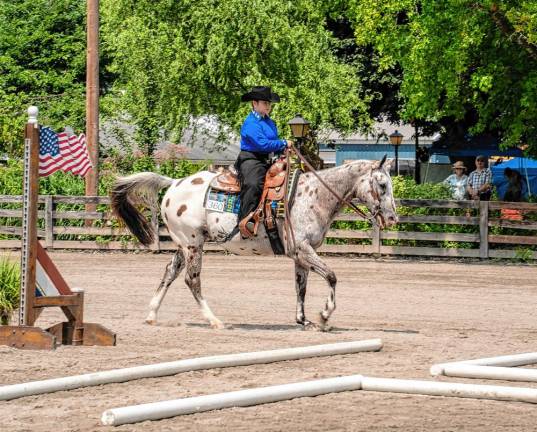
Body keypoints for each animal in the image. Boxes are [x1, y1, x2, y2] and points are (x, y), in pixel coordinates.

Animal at [111, 156, 396, 330]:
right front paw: (324, 315)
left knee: (169, 272)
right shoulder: (303, 249)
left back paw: (152, 314)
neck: (314, 196)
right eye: (382, 185)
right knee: (192, 280)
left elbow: (301, 287)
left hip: (185, 245)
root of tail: (174, 183)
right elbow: (332, 276)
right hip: (193, 245)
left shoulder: (300, 254)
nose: (393, 218)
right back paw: (214, 320)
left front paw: (303, 320)